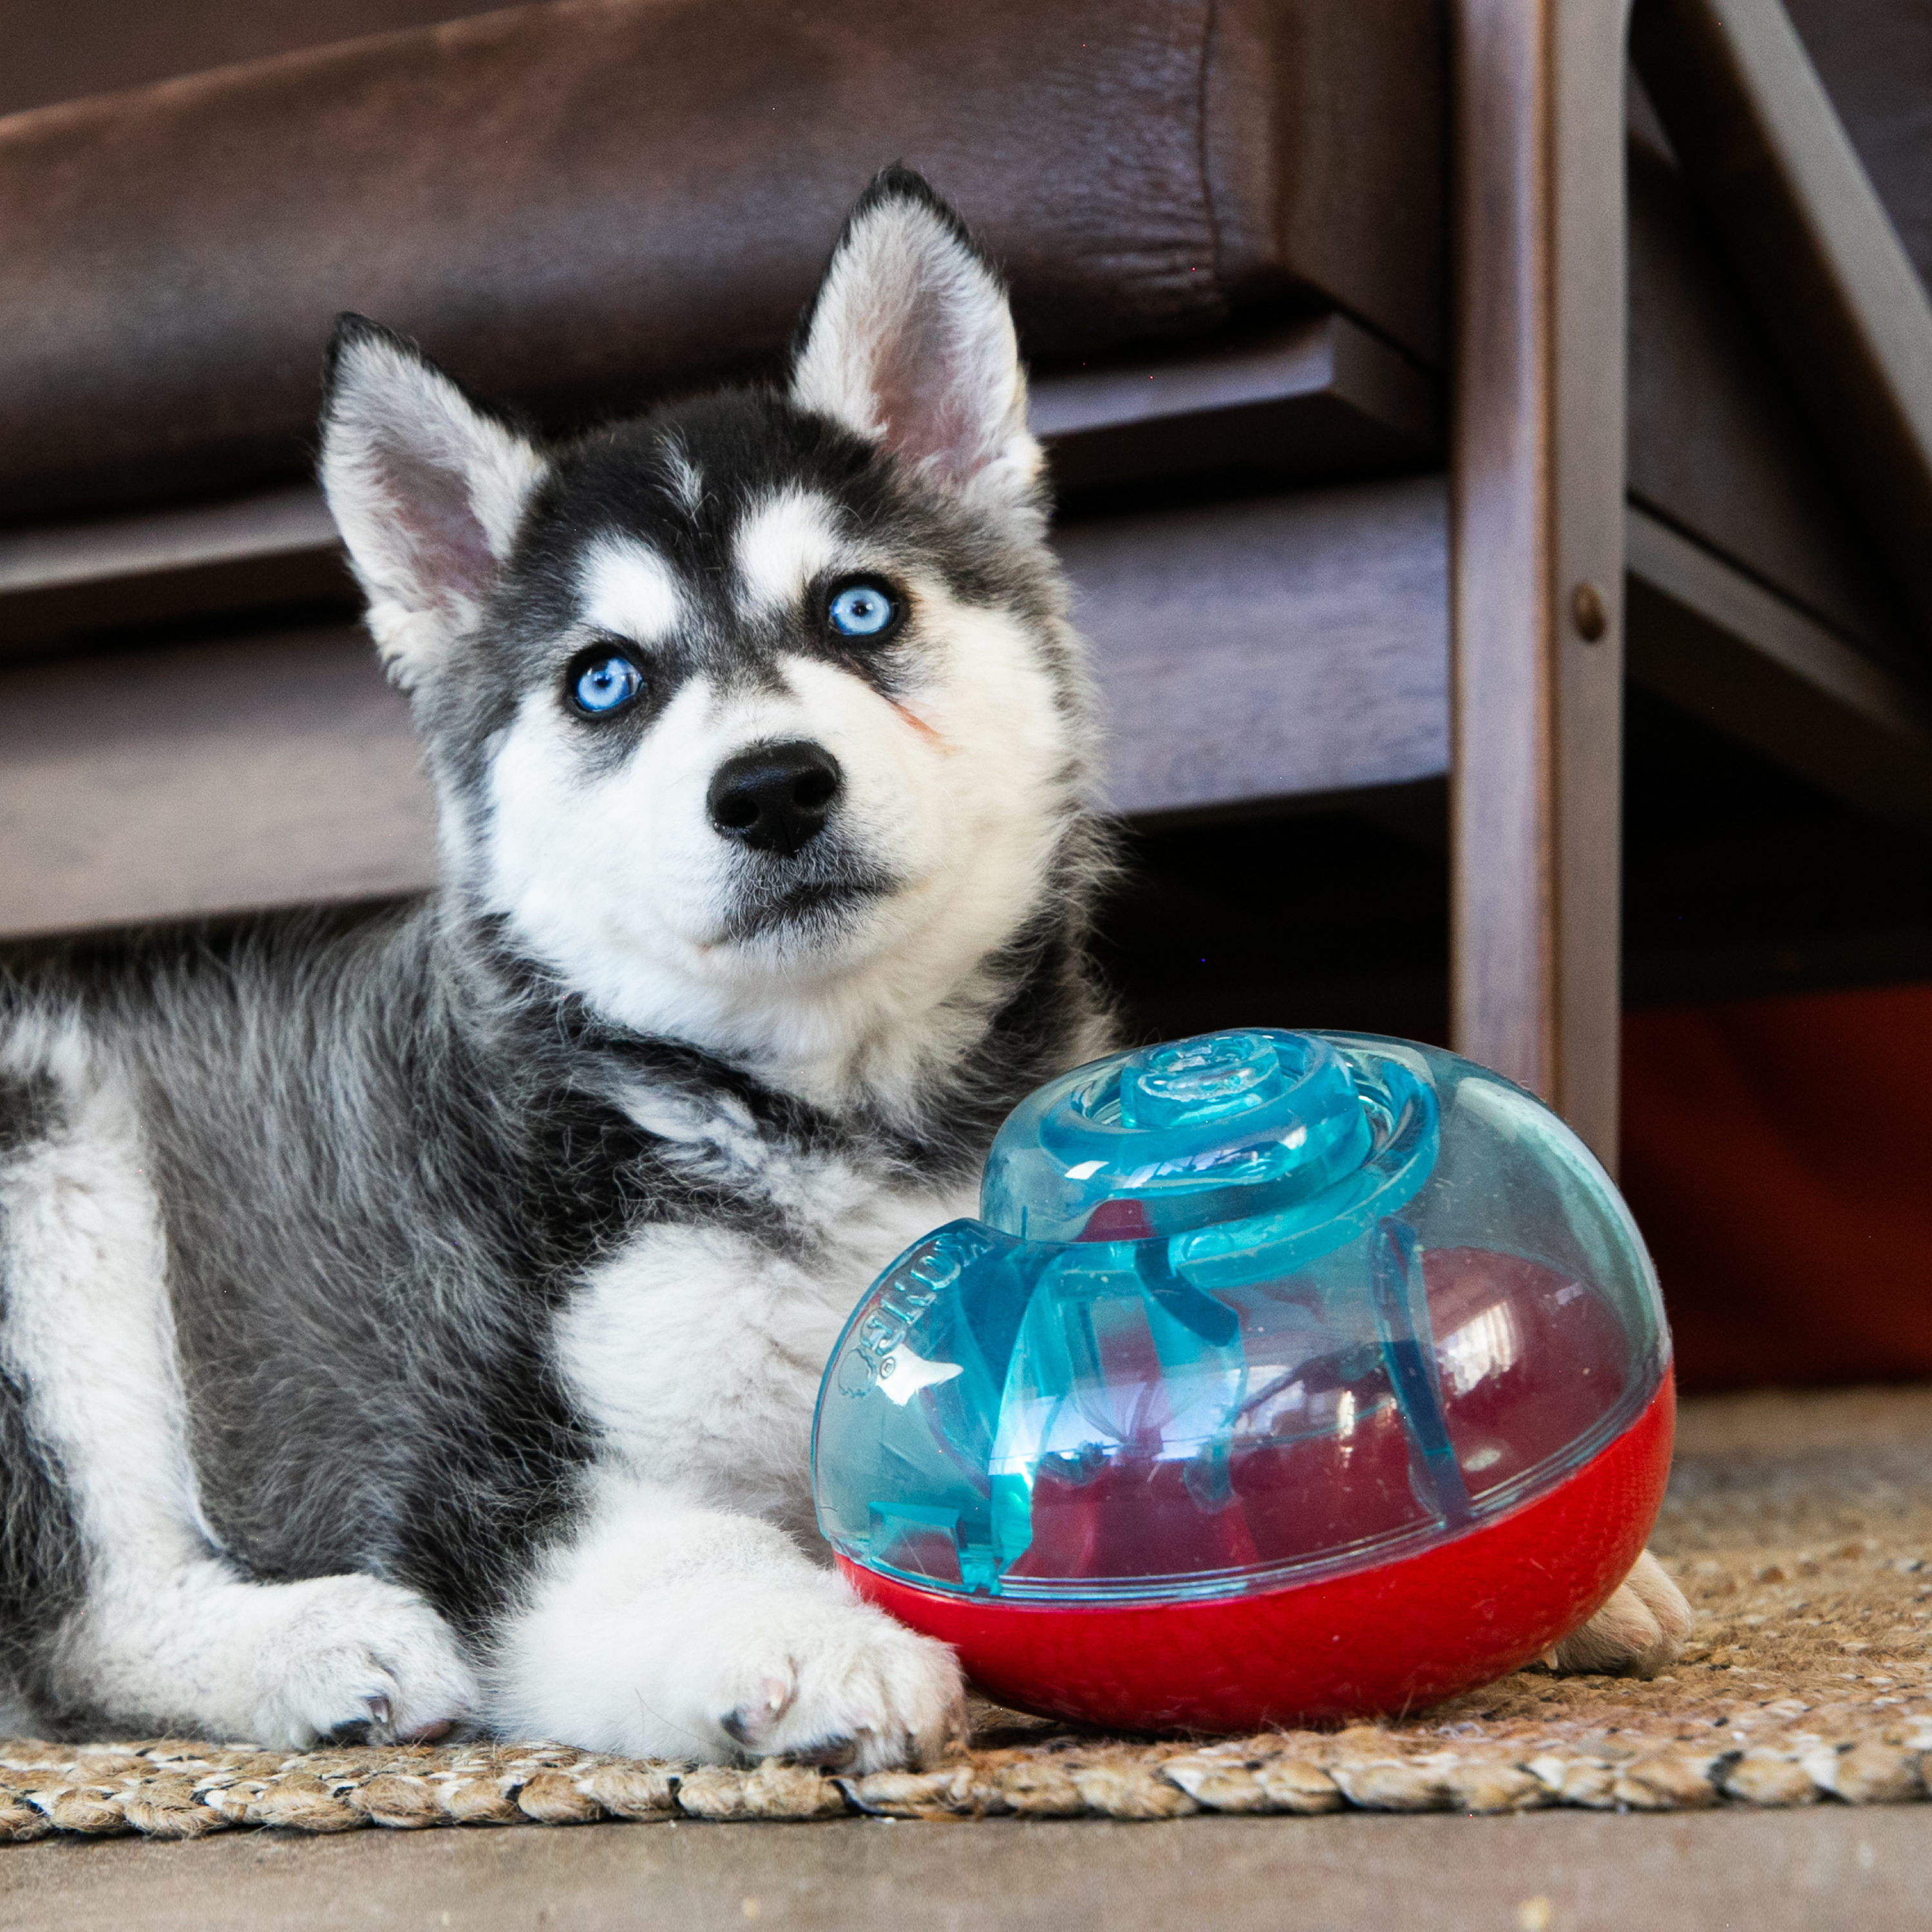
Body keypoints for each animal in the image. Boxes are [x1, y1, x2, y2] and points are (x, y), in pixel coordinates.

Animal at [0, 174, 1677, 1770]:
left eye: (860, 608)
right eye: (604, 679)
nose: (771, 789)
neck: (825, 1115)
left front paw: (1581, 1571)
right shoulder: (479, 1461)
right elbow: (669, 1551)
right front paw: (817, 1643)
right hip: (51, 1147)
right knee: (76, 1624)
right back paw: (314, 1648)